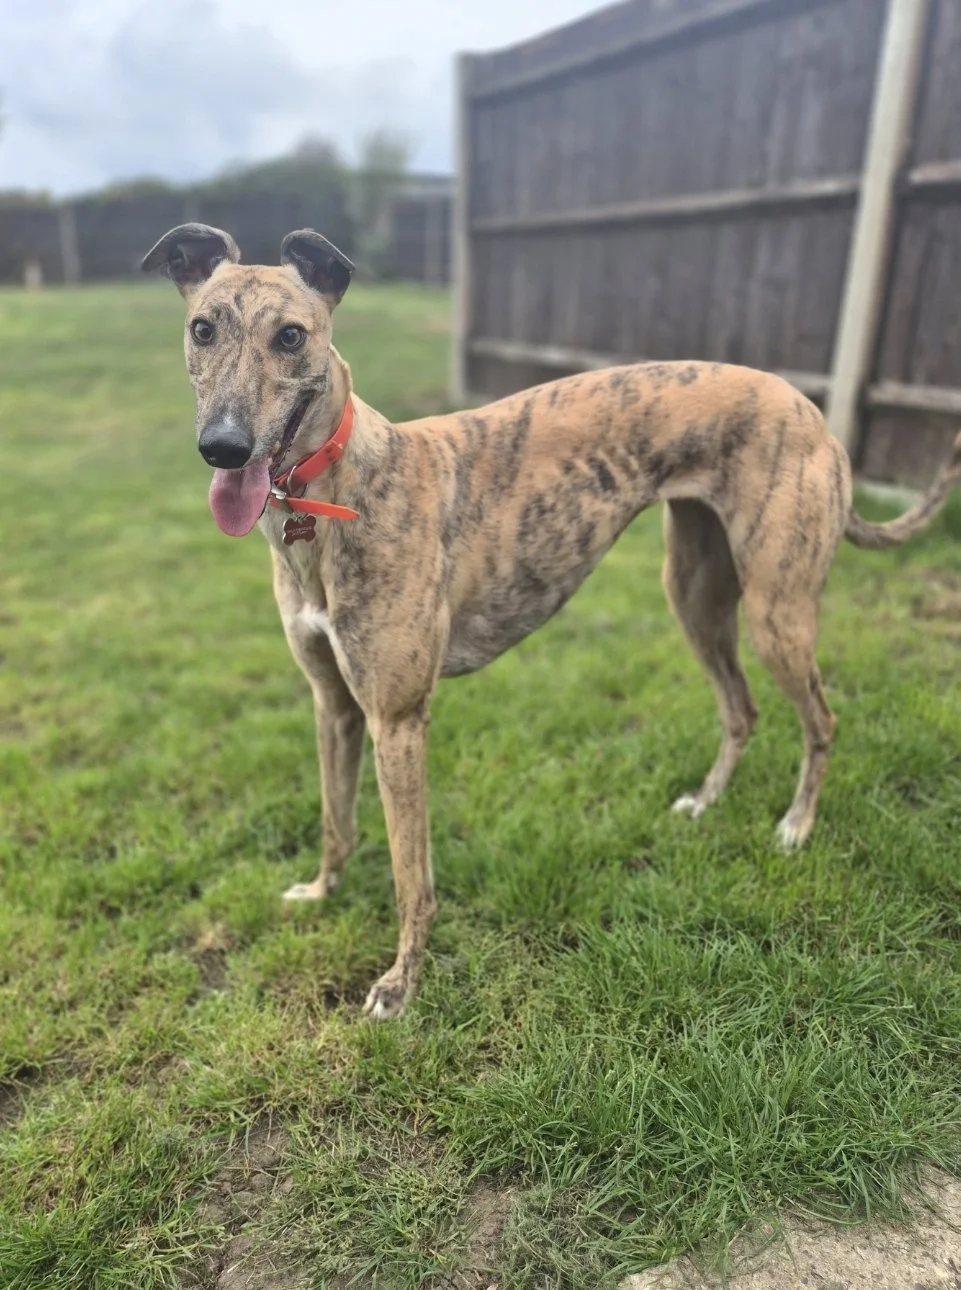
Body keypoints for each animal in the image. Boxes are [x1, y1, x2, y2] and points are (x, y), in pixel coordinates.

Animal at [142, 223, 961, 1020]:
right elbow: (334, 820)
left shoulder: (397, 720)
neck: (333, 492)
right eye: (202, 328)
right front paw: (321, 892)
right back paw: (706, 802)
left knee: (820, 718)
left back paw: (795, 826)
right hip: (695, 597)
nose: (222, 447)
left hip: (775, 611)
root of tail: (809, 409)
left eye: (290, 336)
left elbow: (412, 876)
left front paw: (401, 985)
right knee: (741, 708)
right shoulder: (333, 704)